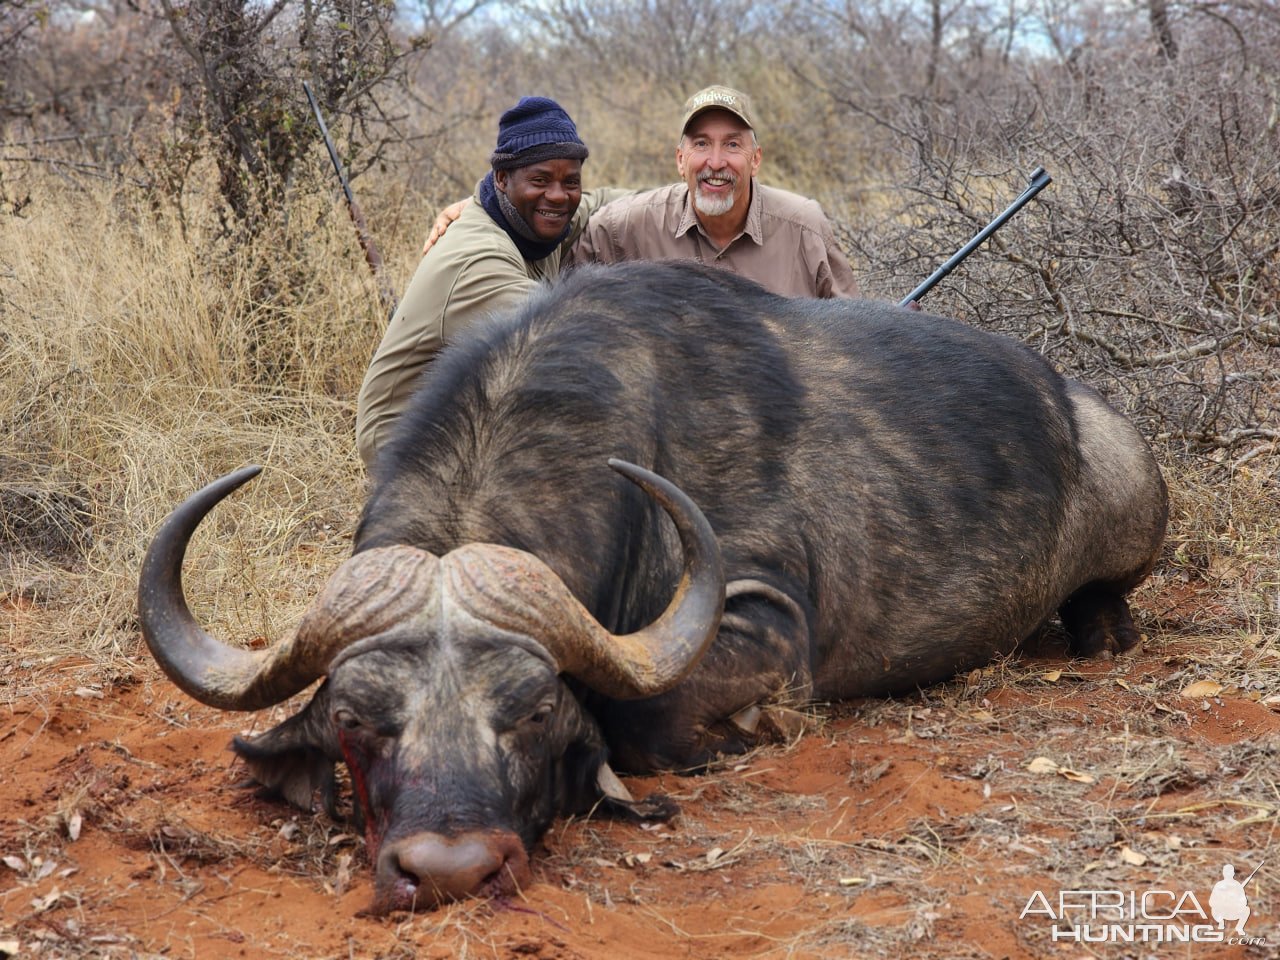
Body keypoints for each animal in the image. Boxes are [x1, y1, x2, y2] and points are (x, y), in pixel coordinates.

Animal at [135, 261, 1167, 916]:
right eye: (356, 721)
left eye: (533, 714)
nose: (453, 870)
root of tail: (1080, 406)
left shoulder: (764, 623)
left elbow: (648, 719)